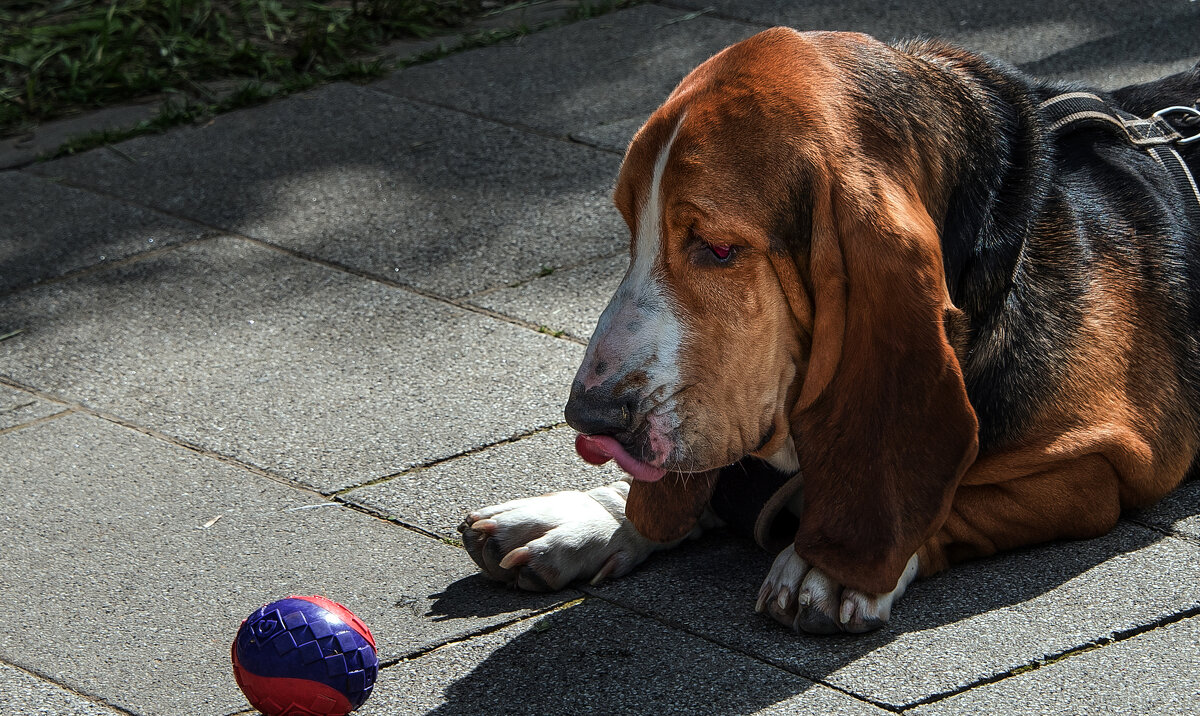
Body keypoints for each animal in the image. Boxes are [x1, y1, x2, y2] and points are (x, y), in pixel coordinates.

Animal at [456, 26, 1200, 633]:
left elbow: (950, 495)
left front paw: (826, 565)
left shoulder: (1097, 465)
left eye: (718, 249)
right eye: (630, 227)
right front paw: (587, 516)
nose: (590, 416)